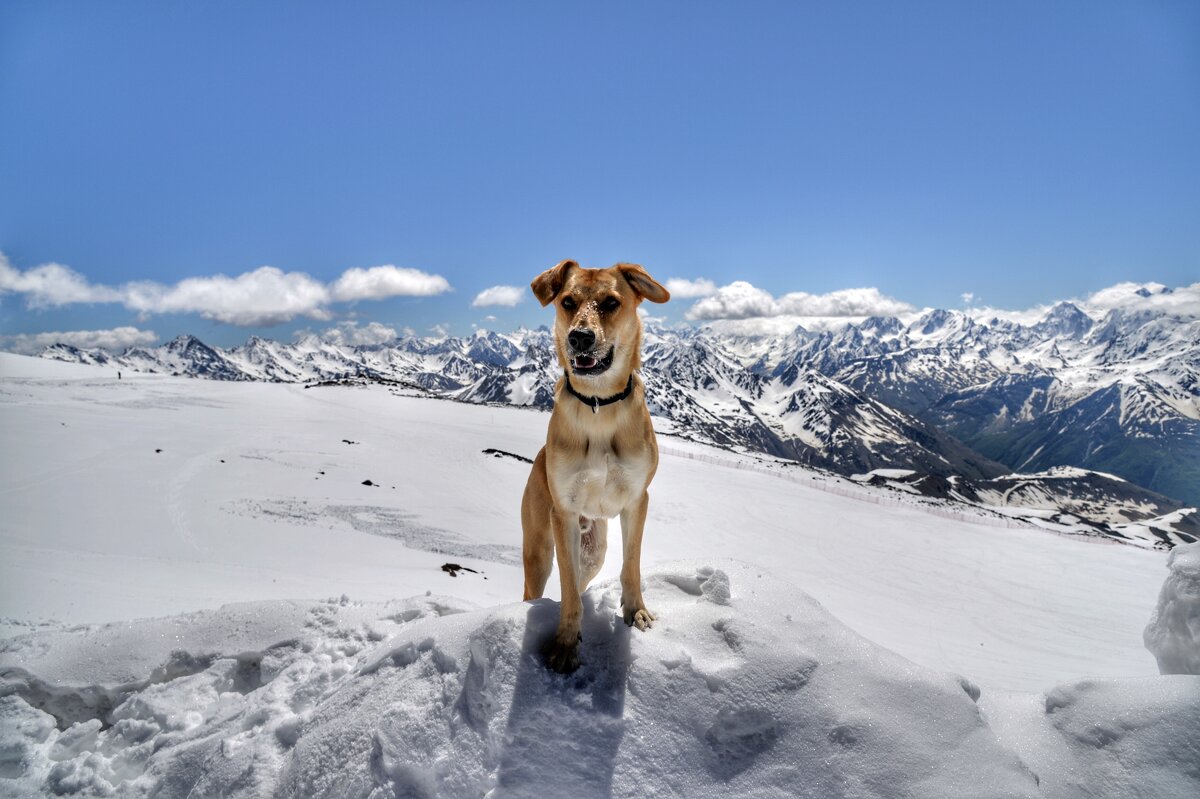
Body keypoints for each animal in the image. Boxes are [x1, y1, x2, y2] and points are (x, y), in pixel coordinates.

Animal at [523, 257, 672, 667]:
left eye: (610, 303)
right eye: (568, 302)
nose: (580, 338)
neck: (598, 406)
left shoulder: (637, 500)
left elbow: (631, 565)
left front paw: (636, 611)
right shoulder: (564, 513)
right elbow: (568, 588)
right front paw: (564, 642)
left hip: (595, 550)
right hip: (539, 546)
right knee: (538, 587)